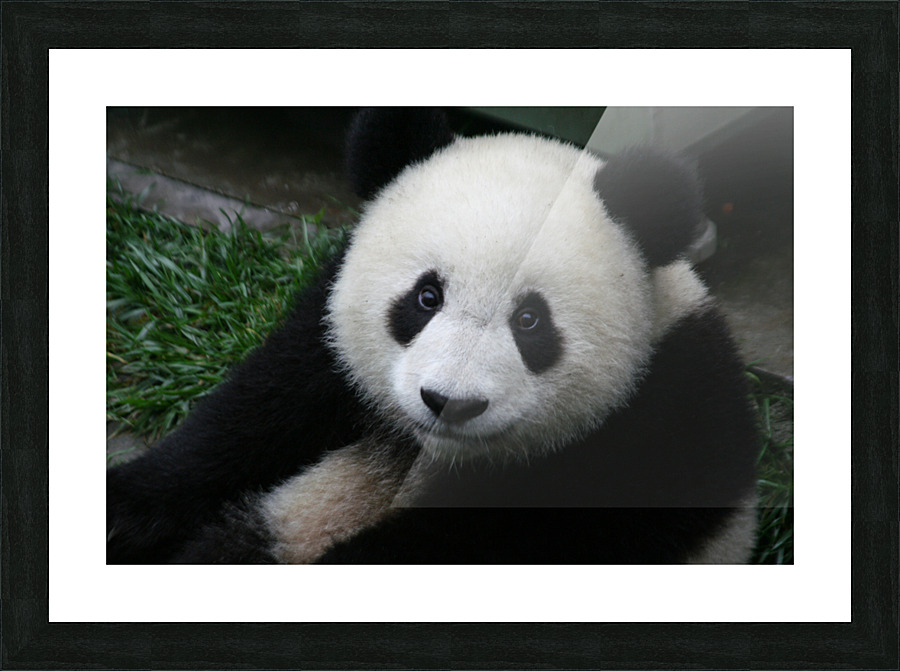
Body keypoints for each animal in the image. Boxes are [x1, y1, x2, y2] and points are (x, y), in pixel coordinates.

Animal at [106, 108, 759, 565]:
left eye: (530, 321)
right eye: (426, 298)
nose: (449, 402)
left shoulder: (656, 430)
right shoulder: (327, 336)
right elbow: (253, 417)